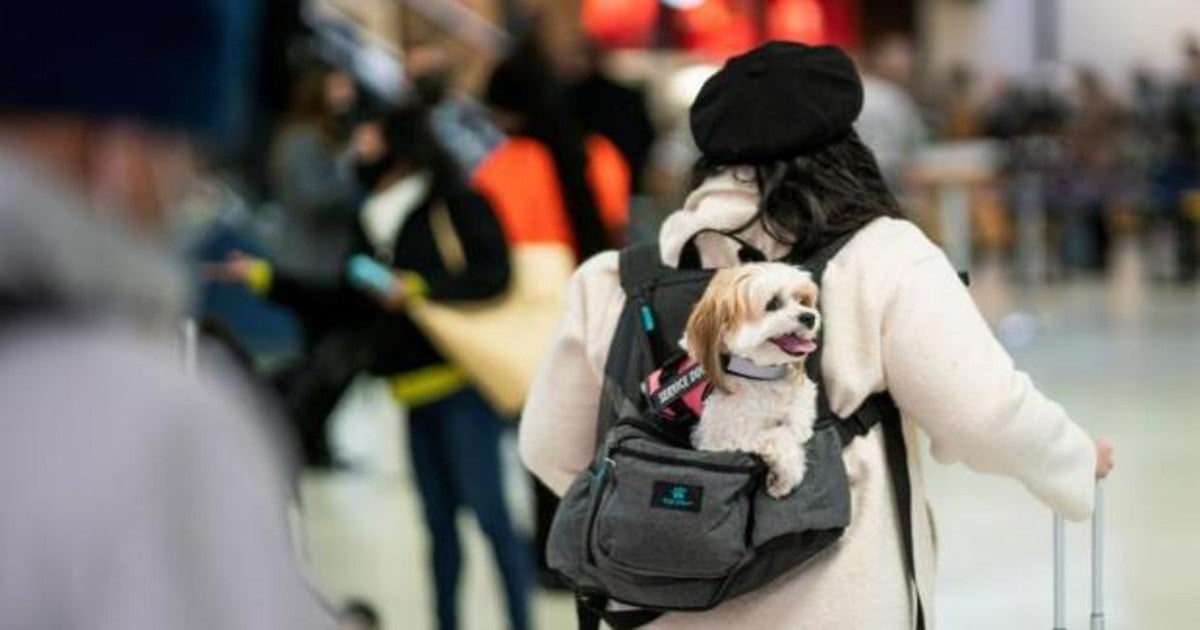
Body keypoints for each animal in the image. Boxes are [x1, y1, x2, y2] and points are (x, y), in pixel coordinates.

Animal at [691, 260, 820, 496]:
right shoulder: (717, 440)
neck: (761, 375)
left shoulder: (801, 406)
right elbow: (779, 436)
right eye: (772, 303)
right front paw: (785, 476)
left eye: (802, 300)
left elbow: (797, 425)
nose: (810, 316)